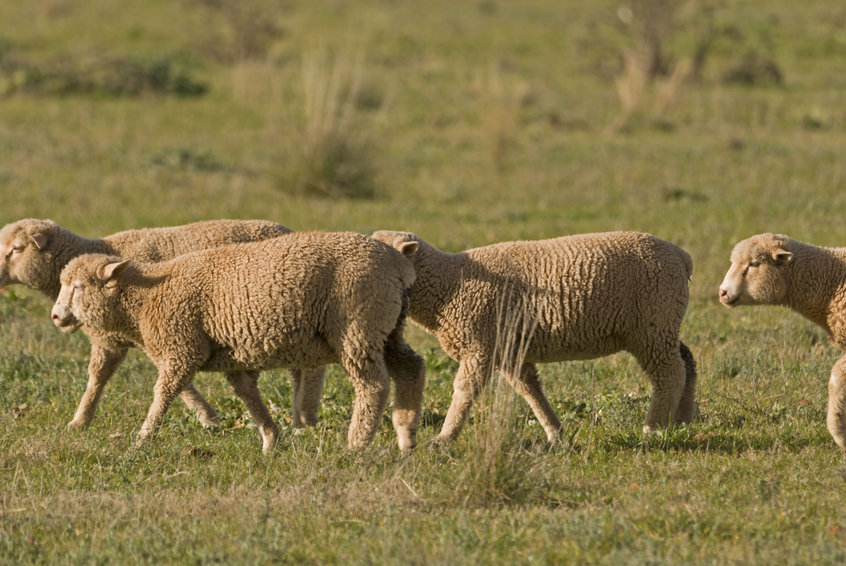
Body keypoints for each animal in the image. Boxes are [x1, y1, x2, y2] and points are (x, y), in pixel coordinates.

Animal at [0, 220, 326, 432]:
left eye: (16, 249)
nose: (57, 317)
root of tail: (287, 230)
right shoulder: (114, 339)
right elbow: (98, 379)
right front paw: (79, 422)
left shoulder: (158, 327)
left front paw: (206, 416)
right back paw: (301, 416)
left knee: (309, 367)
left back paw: (304, 417)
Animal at [49, 233, 428, 454]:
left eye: (78, 287)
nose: (55, 316)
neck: (146, 297)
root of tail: (399, 266)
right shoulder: (232, 358)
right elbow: (248, 396)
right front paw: (271, 440)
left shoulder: (182, 348)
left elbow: (163, 395)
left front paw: (143, 438)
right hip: (388, 328)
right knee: (413, 368)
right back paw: (406, 436)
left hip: (357, 327)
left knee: (373, 385)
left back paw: (357, 444)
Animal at [374, 231, 700, 444]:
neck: (449, 285)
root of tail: (682, 257)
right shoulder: (508, 349)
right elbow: (529, 390)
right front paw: (555, 433)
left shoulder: (480, 344)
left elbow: (464, 392)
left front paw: (443, 438)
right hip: (662, 325)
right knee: (687, 362)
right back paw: (682, 418)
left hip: (653, 325)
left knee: (669, 373)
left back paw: (652, 428)